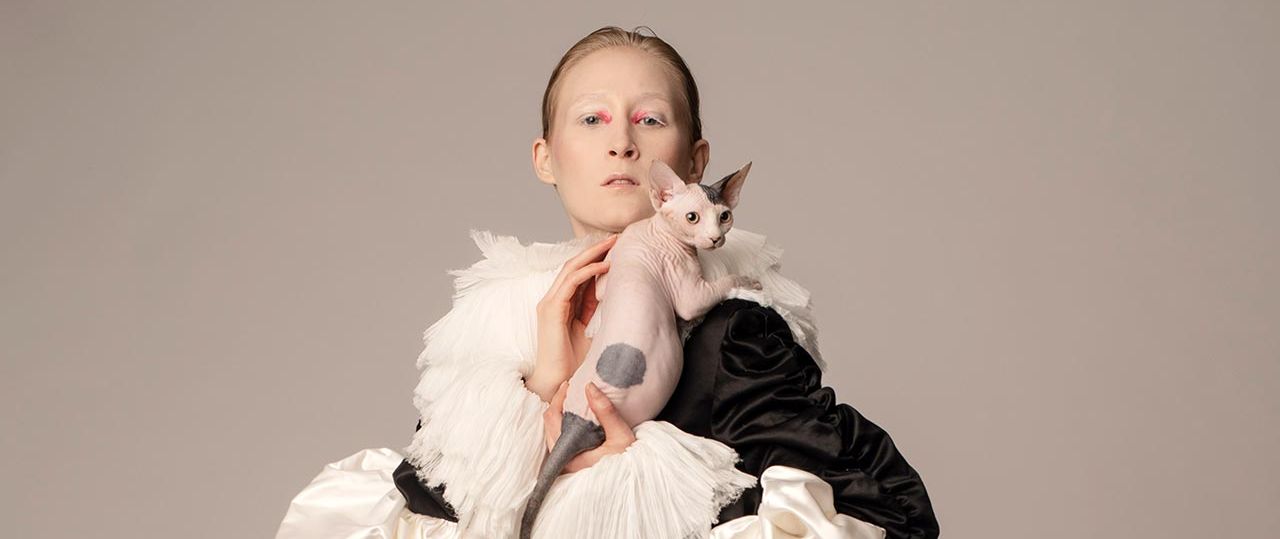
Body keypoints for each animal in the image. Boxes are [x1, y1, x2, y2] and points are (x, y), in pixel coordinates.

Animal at [519, 158, 761, 538]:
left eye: (724, 216)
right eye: (692, 217)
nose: (716, 238)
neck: (651, 228)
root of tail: (576, 422)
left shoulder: (607, 271)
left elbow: (599, 297)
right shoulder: (687, 285)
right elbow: (713, 290)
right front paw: (748, 281)